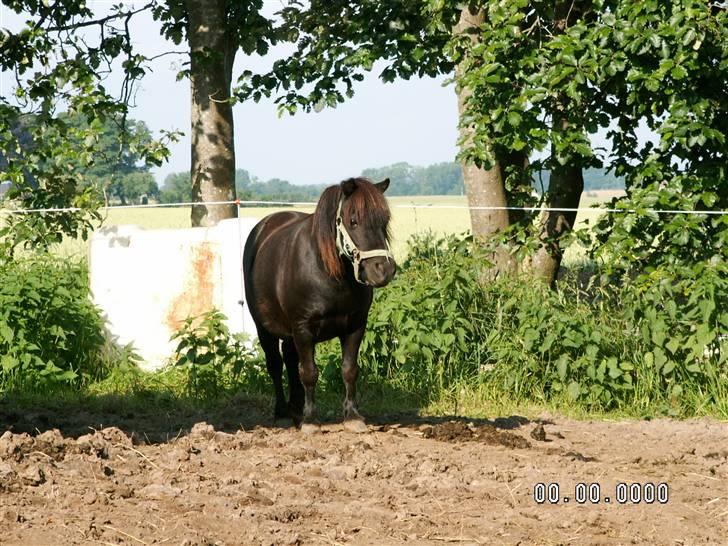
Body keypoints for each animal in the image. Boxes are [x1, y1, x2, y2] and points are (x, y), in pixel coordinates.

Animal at [242, 176, 396, 432]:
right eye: (353, 221)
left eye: (384, 221)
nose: (383, 270)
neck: (329, 272)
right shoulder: (303, 327)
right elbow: (309, 373)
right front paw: (311, 420)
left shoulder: (355, 326)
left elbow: (349, 370)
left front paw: (352, 416)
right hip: (264, 327)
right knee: (275, 364)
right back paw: (283, 412)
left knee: (290, 360)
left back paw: (296, 408)